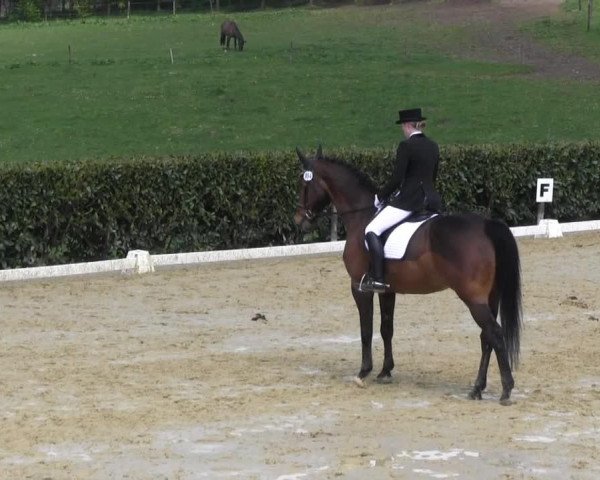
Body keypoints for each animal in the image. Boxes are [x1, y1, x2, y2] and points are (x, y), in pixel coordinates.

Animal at [292, 146, 524, 404]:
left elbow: (366, 330)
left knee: (495, 334)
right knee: (486, 338)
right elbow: (386, 328)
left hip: (473, 299)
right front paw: (385, 371)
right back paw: (477, 389)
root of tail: (486, 225)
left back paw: (506, 390)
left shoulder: (359, 287)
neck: (362, 216)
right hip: (490, 297)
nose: (298, 220)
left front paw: (364, 372)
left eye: (304, 183)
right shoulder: (387, 289)